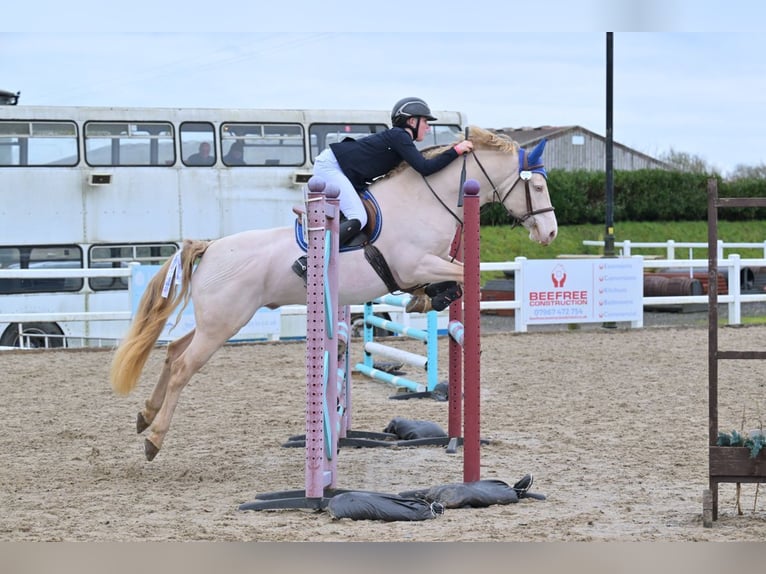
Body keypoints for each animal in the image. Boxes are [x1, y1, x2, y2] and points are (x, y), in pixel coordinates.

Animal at [108, 127, 560, 464]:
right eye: (537, 186)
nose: (551, 232)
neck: (424, 200)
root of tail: (211, 247)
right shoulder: (415, 263)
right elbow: (468, 278)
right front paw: (436, 296)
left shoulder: (423, 265)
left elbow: (461, 281)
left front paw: (427, 298)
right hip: (224, 323)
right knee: (184, 366)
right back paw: (153, 439)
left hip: (218, 321)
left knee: (172, 352)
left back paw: (145, 415)